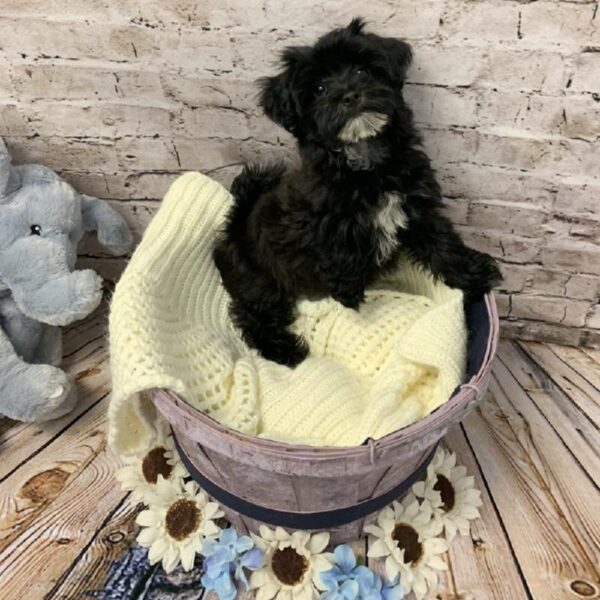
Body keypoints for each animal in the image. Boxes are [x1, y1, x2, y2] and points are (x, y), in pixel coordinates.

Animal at [216, 17, 502, 366]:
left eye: (363, 71)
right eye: (319, 89)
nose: (349, 96)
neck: (366, 161)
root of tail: (234, 224)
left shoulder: (417, 207)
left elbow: (441, 241)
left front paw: (474, 273)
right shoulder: (322, 221)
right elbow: (338, 250)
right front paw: (350, 291)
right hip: (258, 279)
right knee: (254, 313)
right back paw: (284, 350)